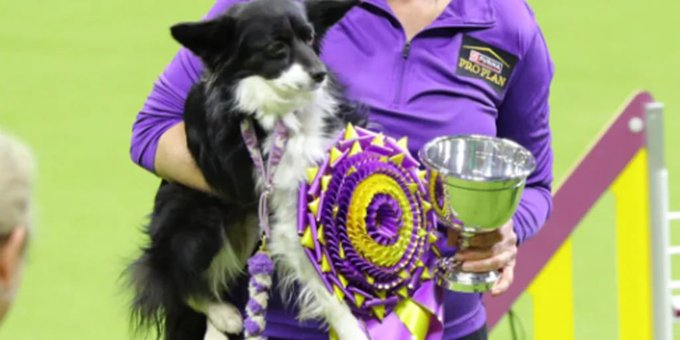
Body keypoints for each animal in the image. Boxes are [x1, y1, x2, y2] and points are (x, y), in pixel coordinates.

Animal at [125, 0, 370, 338]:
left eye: (309, 38)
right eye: (276, 47)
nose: (320, 74)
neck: (281, 108)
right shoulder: (283, 208)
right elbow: (325, 286)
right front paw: (353, 330)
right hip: (198, 221)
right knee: (175, 279)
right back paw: (224, 314)